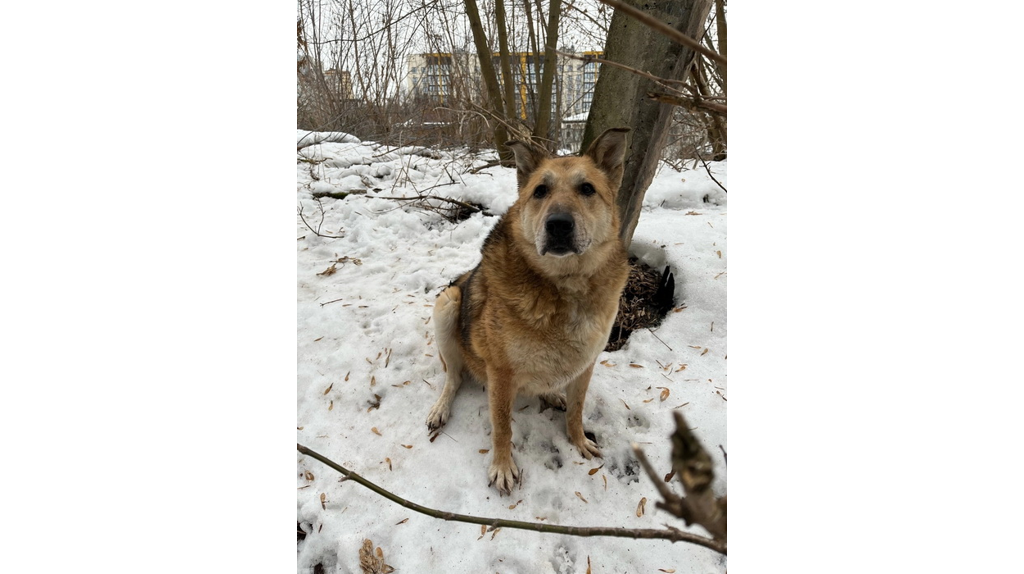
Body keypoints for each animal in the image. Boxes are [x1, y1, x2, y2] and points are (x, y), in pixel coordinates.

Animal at [423, 128, 630, 493]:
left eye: (587, 189)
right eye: (540, 191)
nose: (558, 224)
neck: (564, 287)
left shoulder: (587, 364)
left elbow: (577, 410)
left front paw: (578, 440)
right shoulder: (501, 373)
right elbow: (502, 425)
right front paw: (503, 466)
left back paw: (553, 394)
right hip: (448, 302)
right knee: (453, 377)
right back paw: (441, 407)